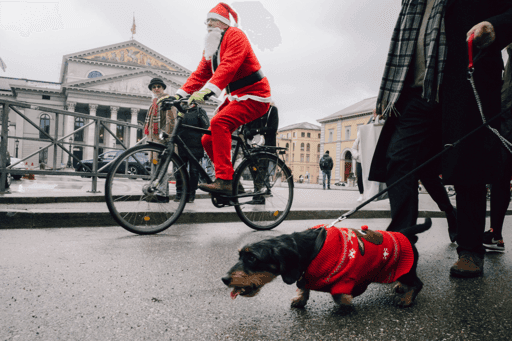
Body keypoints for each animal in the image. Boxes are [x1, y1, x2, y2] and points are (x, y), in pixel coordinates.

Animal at [222, 218, 430, 308]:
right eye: (239, 256)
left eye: (252, 258)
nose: (224, 279)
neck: (310, 247)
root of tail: (404, 233)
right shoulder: (305, 274)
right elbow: (303, 286)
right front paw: (300, 299)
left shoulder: (345, 279)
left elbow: (339, 297)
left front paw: (347, 303)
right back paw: (401, 288)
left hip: (407, 270)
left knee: (418, 284)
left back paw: (406, 299)